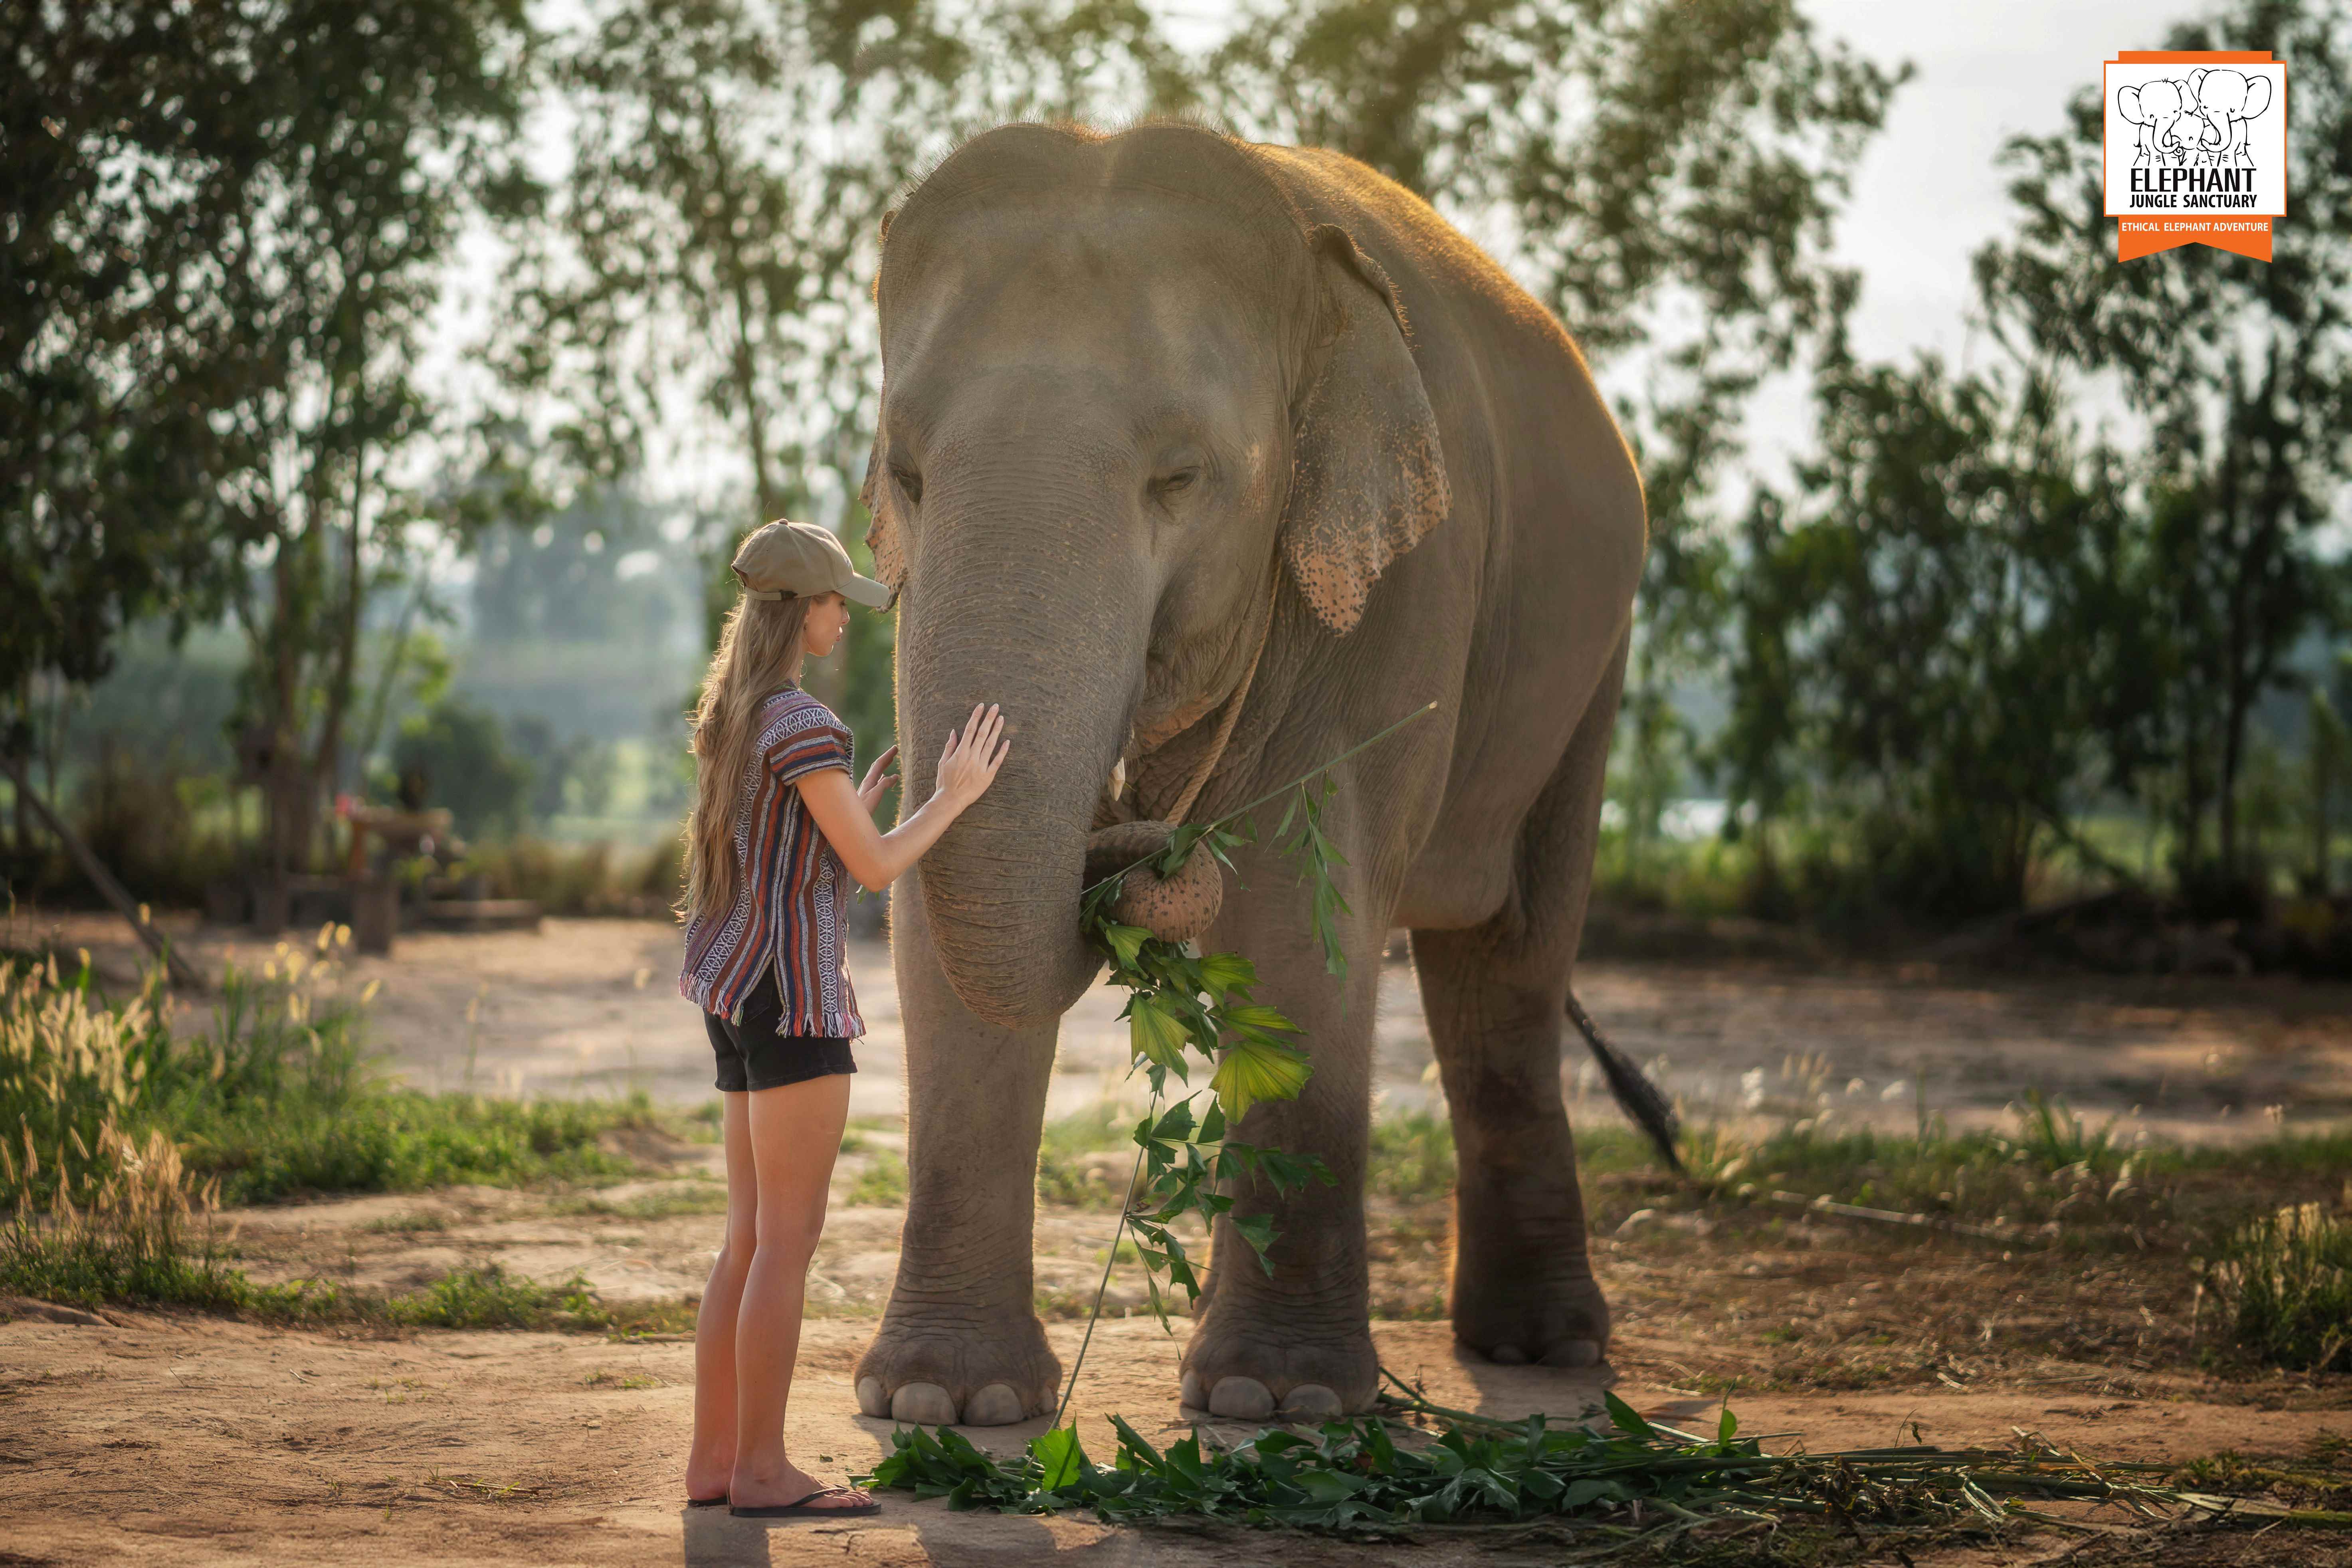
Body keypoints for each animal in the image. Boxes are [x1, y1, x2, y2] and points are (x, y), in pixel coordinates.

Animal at [848, 119, 1669, 1427]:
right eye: (907, 475)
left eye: (1180, 479)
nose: (1124, 851)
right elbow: (933, 899)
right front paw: (937, 1403)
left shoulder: (1401, 588)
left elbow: (1292, 902)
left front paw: (1272, 1401)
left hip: (1589, 661)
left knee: (1508, 963)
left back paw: (1539, 1349)